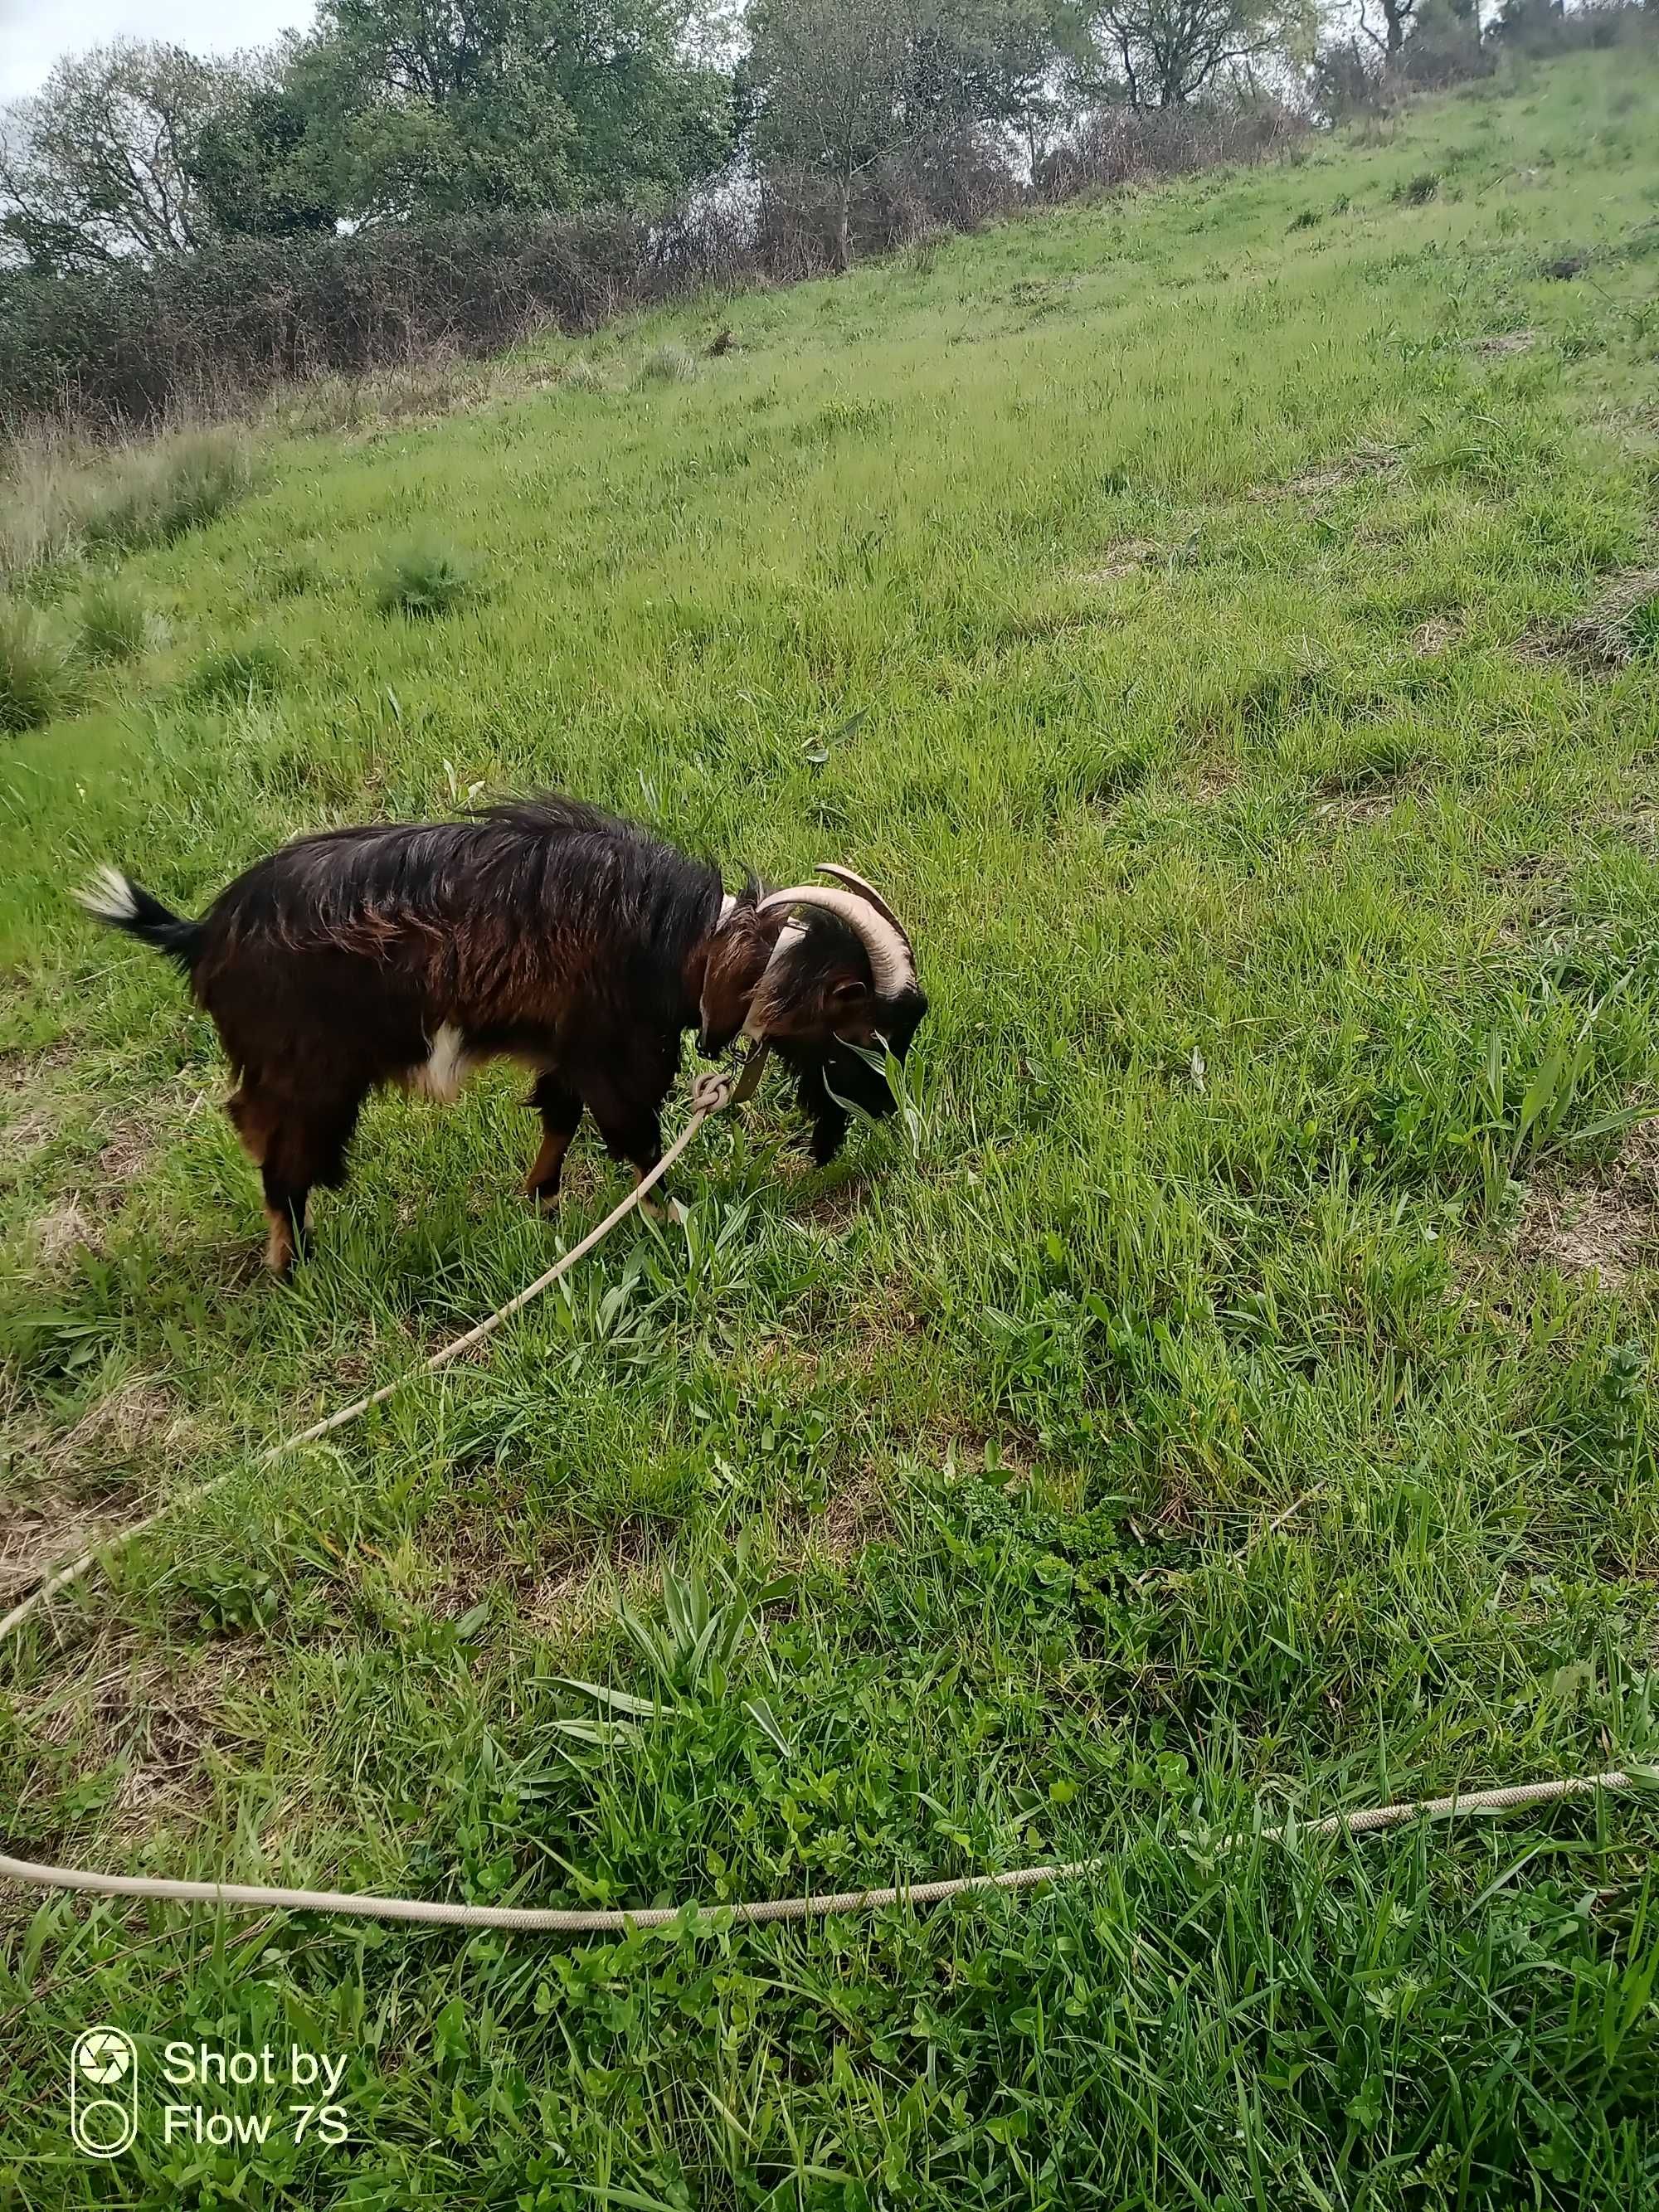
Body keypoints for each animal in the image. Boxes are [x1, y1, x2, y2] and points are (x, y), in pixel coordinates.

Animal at [78, 800, 929, 1282]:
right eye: (860, 1025)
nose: (889, 1112)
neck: (681, 940)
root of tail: (202, 932)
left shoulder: (566, 1050)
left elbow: (559, 1119)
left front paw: (543, 1206)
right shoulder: (612, 1053)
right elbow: (637, 1139)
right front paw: (672, 1219)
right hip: (306, 1075)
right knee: (278, 1157)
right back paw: (294, 1268)